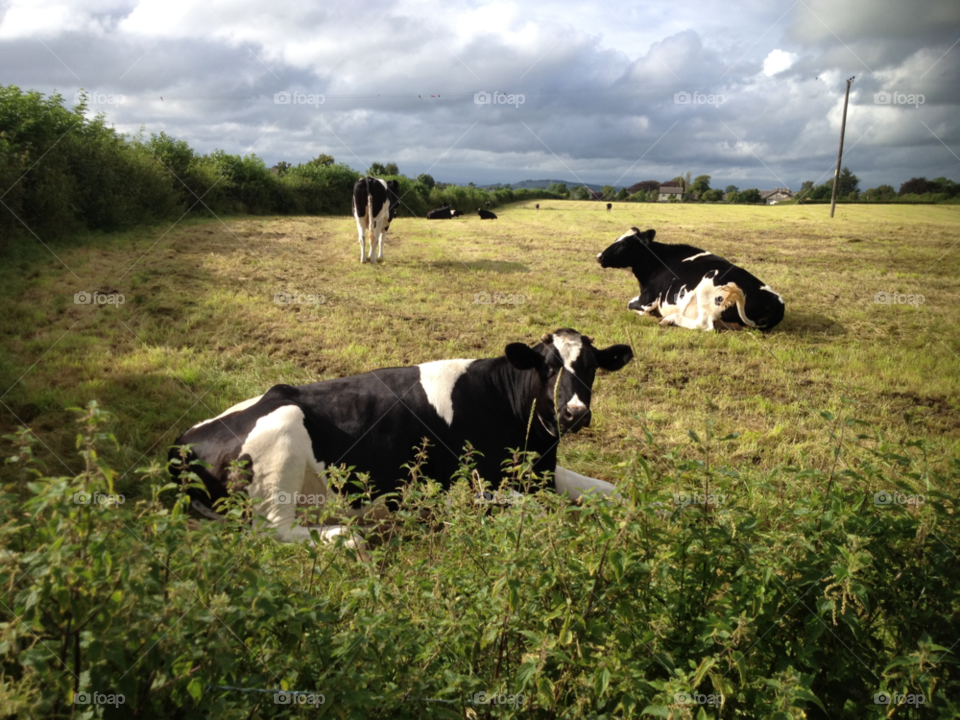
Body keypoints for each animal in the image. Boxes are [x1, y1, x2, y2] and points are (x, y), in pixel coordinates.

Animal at [171, 330, 636, 544]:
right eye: (547, 366)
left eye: (591, 366)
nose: (574, 412)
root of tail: (185, 439)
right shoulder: (466, 487)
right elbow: (538, 513)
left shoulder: (540, 470)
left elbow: (610, 491)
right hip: (280, 442)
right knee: (274, 531)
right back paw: (347, 539)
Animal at [596, 226, 784, 334]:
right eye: (616, 239)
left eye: (625, 244)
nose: (599, 256)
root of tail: (776, 302)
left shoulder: (648, 299)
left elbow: (630, 305)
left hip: (708, 286)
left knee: (704, 324)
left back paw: (670, 319)